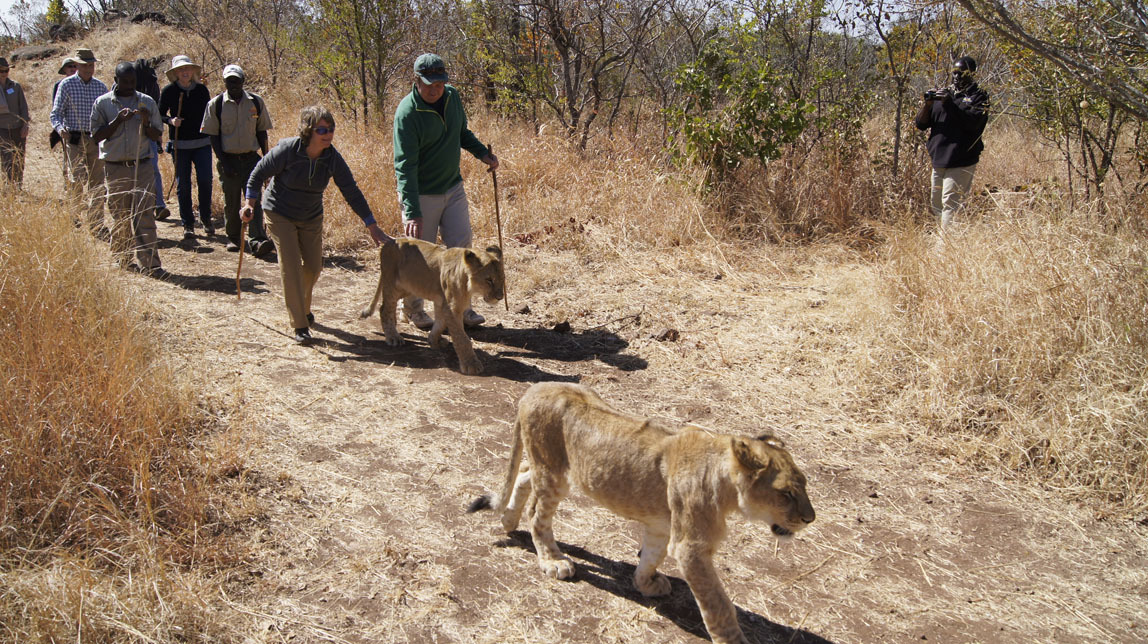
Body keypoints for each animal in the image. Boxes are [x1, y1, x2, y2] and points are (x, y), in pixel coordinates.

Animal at [358, 238, 502, 374]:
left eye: (502, 278)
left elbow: (440, 323)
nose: (500, 297)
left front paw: (434, 341)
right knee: (384, 309)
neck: (467, 283)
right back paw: (393, 337)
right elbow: (461, 337)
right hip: (393, 285)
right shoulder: (452, 307)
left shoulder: (442, 303)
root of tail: (389, 242)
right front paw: (471, 364)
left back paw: (393, 325)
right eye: (489, 280)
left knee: (388, 307)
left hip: (408, 288)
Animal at [466, 381, 817, 642]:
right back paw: (553, 560)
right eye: (786, 493)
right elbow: (717, 603)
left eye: (805, 485)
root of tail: (535, 388)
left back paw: (507, 520)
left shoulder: (663, 526)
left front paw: (645, 584)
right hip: (554, 474)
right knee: (538, 514)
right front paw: (733, 640)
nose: (810, 518)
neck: (723, 478)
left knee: (524, 474)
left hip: (549, 467)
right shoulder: (691, 548)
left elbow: (652, 555)